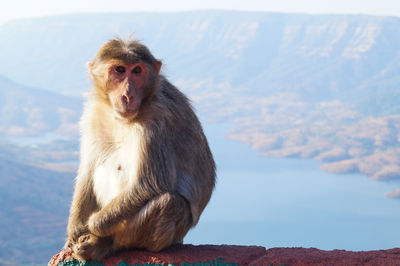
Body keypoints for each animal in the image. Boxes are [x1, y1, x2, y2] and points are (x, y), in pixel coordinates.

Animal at [65, 38, 216, 260]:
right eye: (119, 70)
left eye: (137, 71)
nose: (128, 95)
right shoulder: (93, 114)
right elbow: (88, 170)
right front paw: (75, 228)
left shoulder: (158, 121)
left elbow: (151, 183)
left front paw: (92, 225)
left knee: (169, 203)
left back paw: (104, 243)